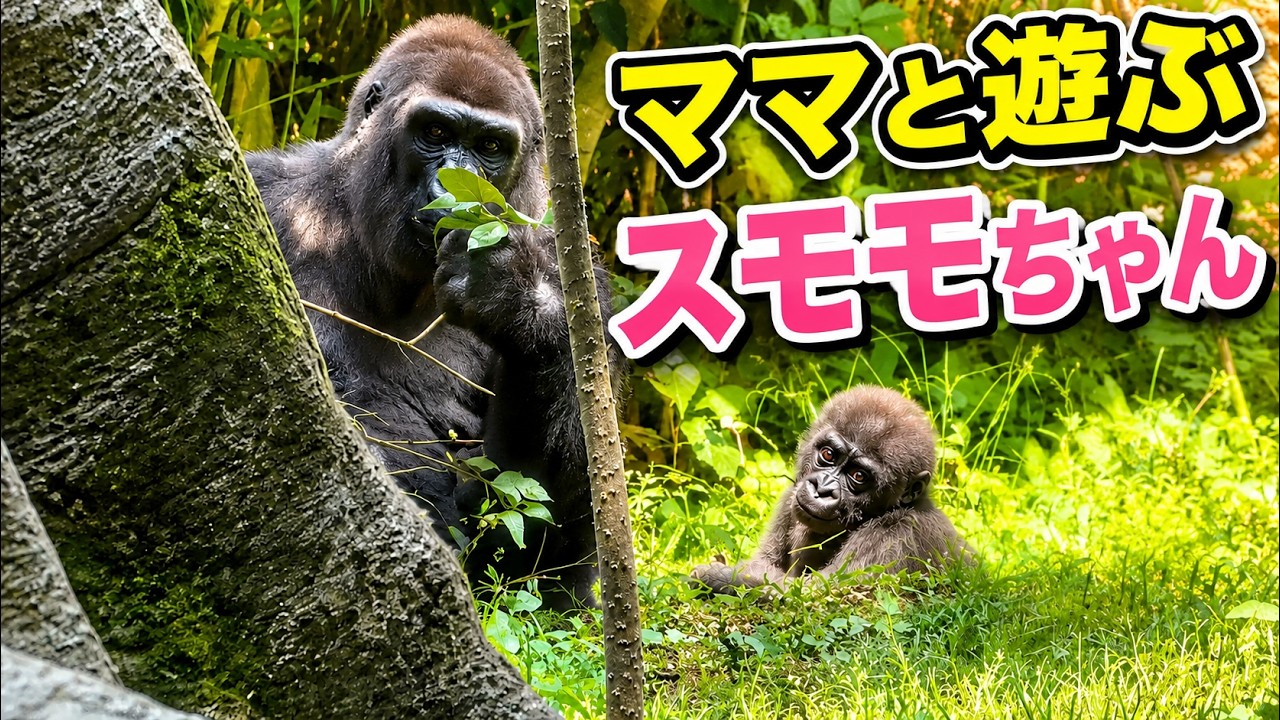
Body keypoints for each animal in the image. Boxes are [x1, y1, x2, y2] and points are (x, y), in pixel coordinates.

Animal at [245, 15, 625, 609]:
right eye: (436, 134)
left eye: (490, 146)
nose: (453, 183)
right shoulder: (263, 191)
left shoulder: (580, 282)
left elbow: (540, 532)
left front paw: (518, 297)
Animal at [691, 386, 973, 594]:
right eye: (828, 454)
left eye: (858, 476)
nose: (822, 489)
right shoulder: (791, 496)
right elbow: (765, 562)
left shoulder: (894, 534)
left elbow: (811, 593)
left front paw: (720, 576)